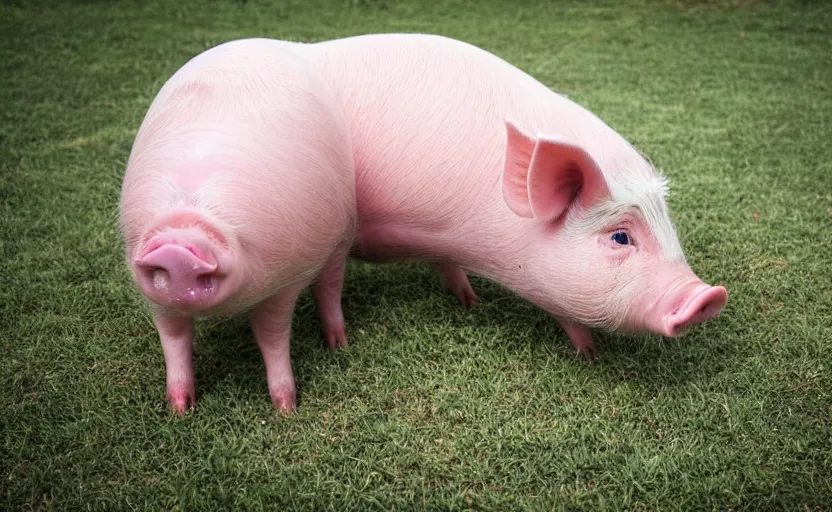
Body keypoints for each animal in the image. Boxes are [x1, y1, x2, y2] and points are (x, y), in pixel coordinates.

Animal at [122, 40, 356, 416]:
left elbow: (271, 337)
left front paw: (286, 410)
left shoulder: (285, 279)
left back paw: (339, 345)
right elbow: (173, 338)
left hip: (340, 238)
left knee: (330, 287)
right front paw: (179, 411)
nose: (176, 246)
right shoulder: (156, 296)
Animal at [296, 34, 724, 358]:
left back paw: (469, 301)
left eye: (669, 226)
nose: (709, 296)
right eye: (620, 236)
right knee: (328, 284)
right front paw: (590, 355)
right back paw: (339, 345)